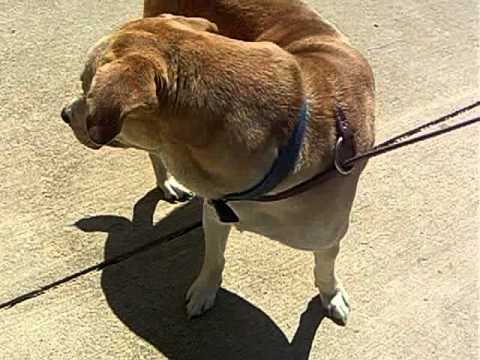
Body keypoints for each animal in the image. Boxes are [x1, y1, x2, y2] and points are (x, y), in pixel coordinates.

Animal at [61, 0, 376, 326]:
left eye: (88, 89)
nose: (65, 114)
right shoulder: (214, 213)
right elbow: (213, 258)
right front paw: (205, 290)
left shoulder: (327, 236)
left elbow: (324, 268)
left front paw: (331, 295)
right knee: (154, 154)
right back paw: (167, 183)